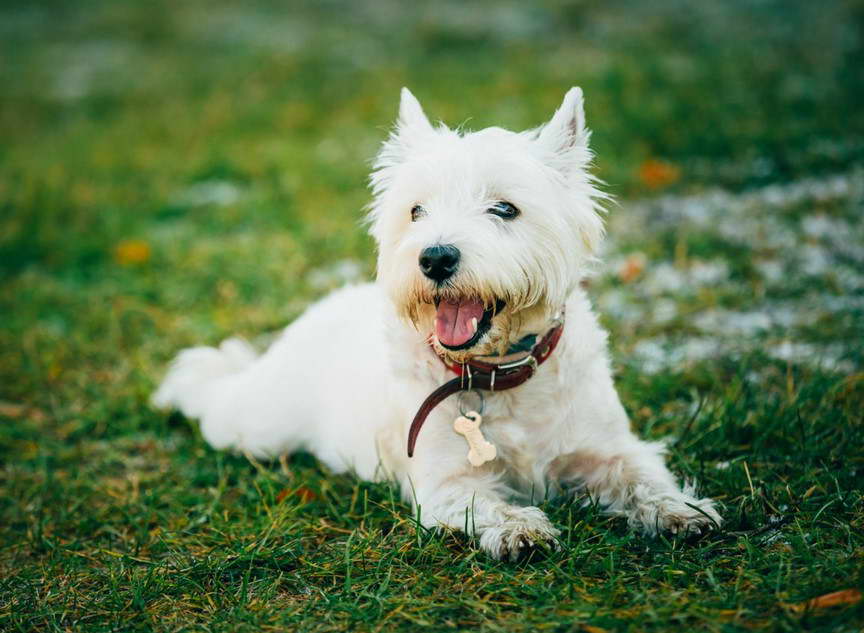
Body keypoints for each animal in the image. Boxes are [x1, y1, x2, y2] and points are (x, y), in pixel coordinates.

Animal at [152, 86, 720, 560]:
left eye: (505, 208)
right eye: (416, 211)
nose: (435, 258)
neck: (498, 373)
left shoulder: (605, 447)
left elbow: (641, 474)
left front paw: (681, 511)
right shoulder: (445, 482)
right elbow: (485, 503)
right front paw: (521, 528)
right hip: (258, 425)